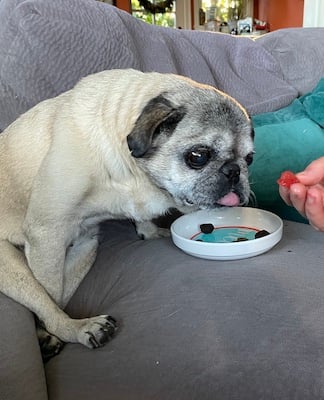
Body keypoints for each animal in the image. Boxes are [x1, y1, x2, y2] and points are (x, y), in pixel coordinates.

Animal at [0, 67, 254, 358]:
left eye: (249, 159)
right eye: (198, 156)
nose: (234, 171)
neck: (133, 172)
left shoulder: (88, 236)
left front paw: (149, 231)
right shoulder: (46, 234)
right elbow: (50, 293)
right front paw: (48, 330)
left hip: (87, 249)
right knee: (46, 301)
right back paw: (76, 328)